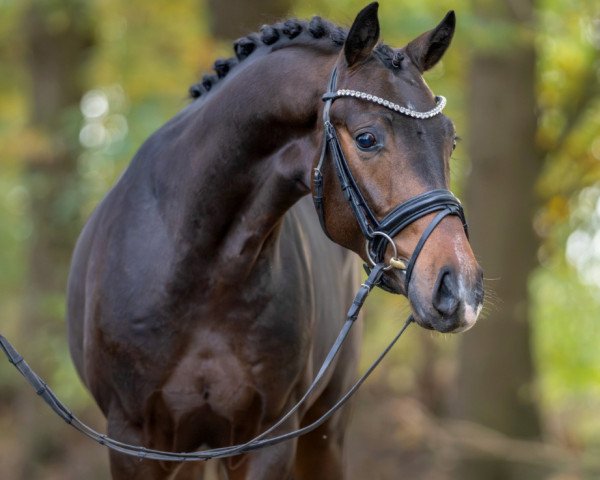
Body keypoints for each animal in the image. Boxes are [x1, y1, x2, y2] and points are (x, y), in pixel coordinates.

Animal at [68, 4, 486, 480]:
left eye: (450, 140)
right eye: (367, 138)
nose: (460, 288)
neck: (200, 268)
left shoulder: (268, 440)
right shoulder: (134, 443)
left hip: (323, 434)